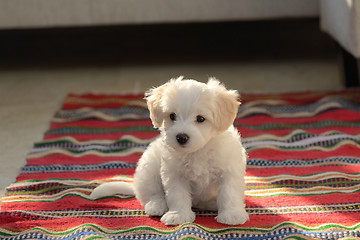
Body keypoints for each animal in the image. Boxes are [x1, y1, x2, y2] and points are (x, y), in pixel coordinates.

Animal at [90, 76, 248, 225]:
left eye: (200, 118)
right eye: (172, 116)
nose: (181, 137)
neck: (197, 151)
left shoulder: (228, 171)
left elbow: (229, 193)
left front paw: (232, 215)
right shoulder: (174, 174)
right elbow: (177, 195)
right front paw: (178, 215)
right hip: (148, 169)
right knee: (151, 193)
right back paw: (156, 205)